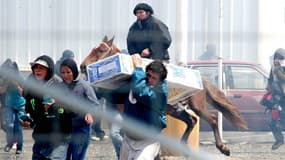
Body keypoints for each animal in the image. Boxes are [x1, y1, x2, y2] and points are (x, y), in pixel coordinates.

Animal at [80, 35, 248, 156]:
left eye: (102, 50)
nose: (82, 66)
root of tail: (202, 80)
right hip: (175, 110)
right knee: (191, 121)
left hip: (197, 106)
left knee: (211, 119)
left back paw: (223, 147)